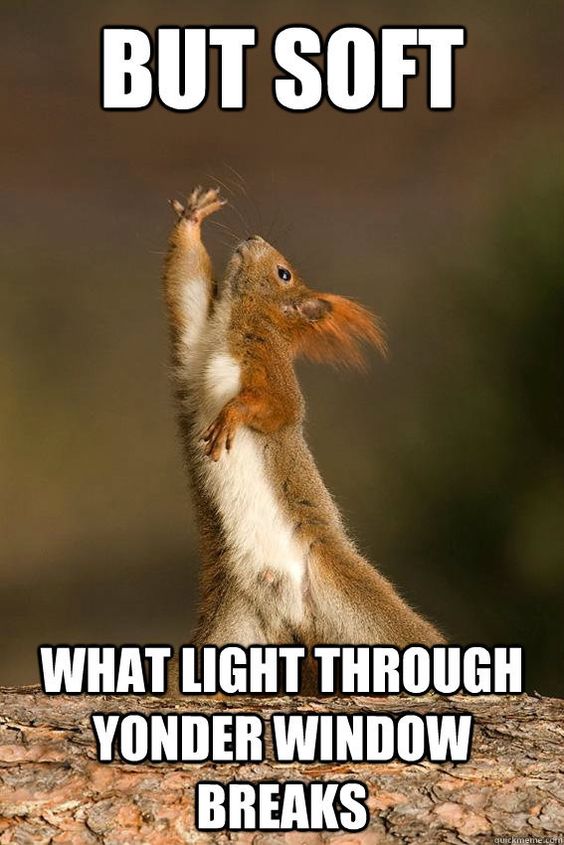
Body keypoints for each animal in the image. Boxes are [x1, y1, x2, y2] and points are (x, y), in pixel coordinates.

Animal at [163, 186, 444, 657]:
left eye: (284, 274)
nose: (254, 238)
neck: (231, 327)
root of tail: (292, 615)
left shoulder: (272, 374)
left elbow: (277, 408)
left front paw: (232, 416)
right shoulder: (193, 342)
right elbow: (185, 288)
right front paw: (193, 218)